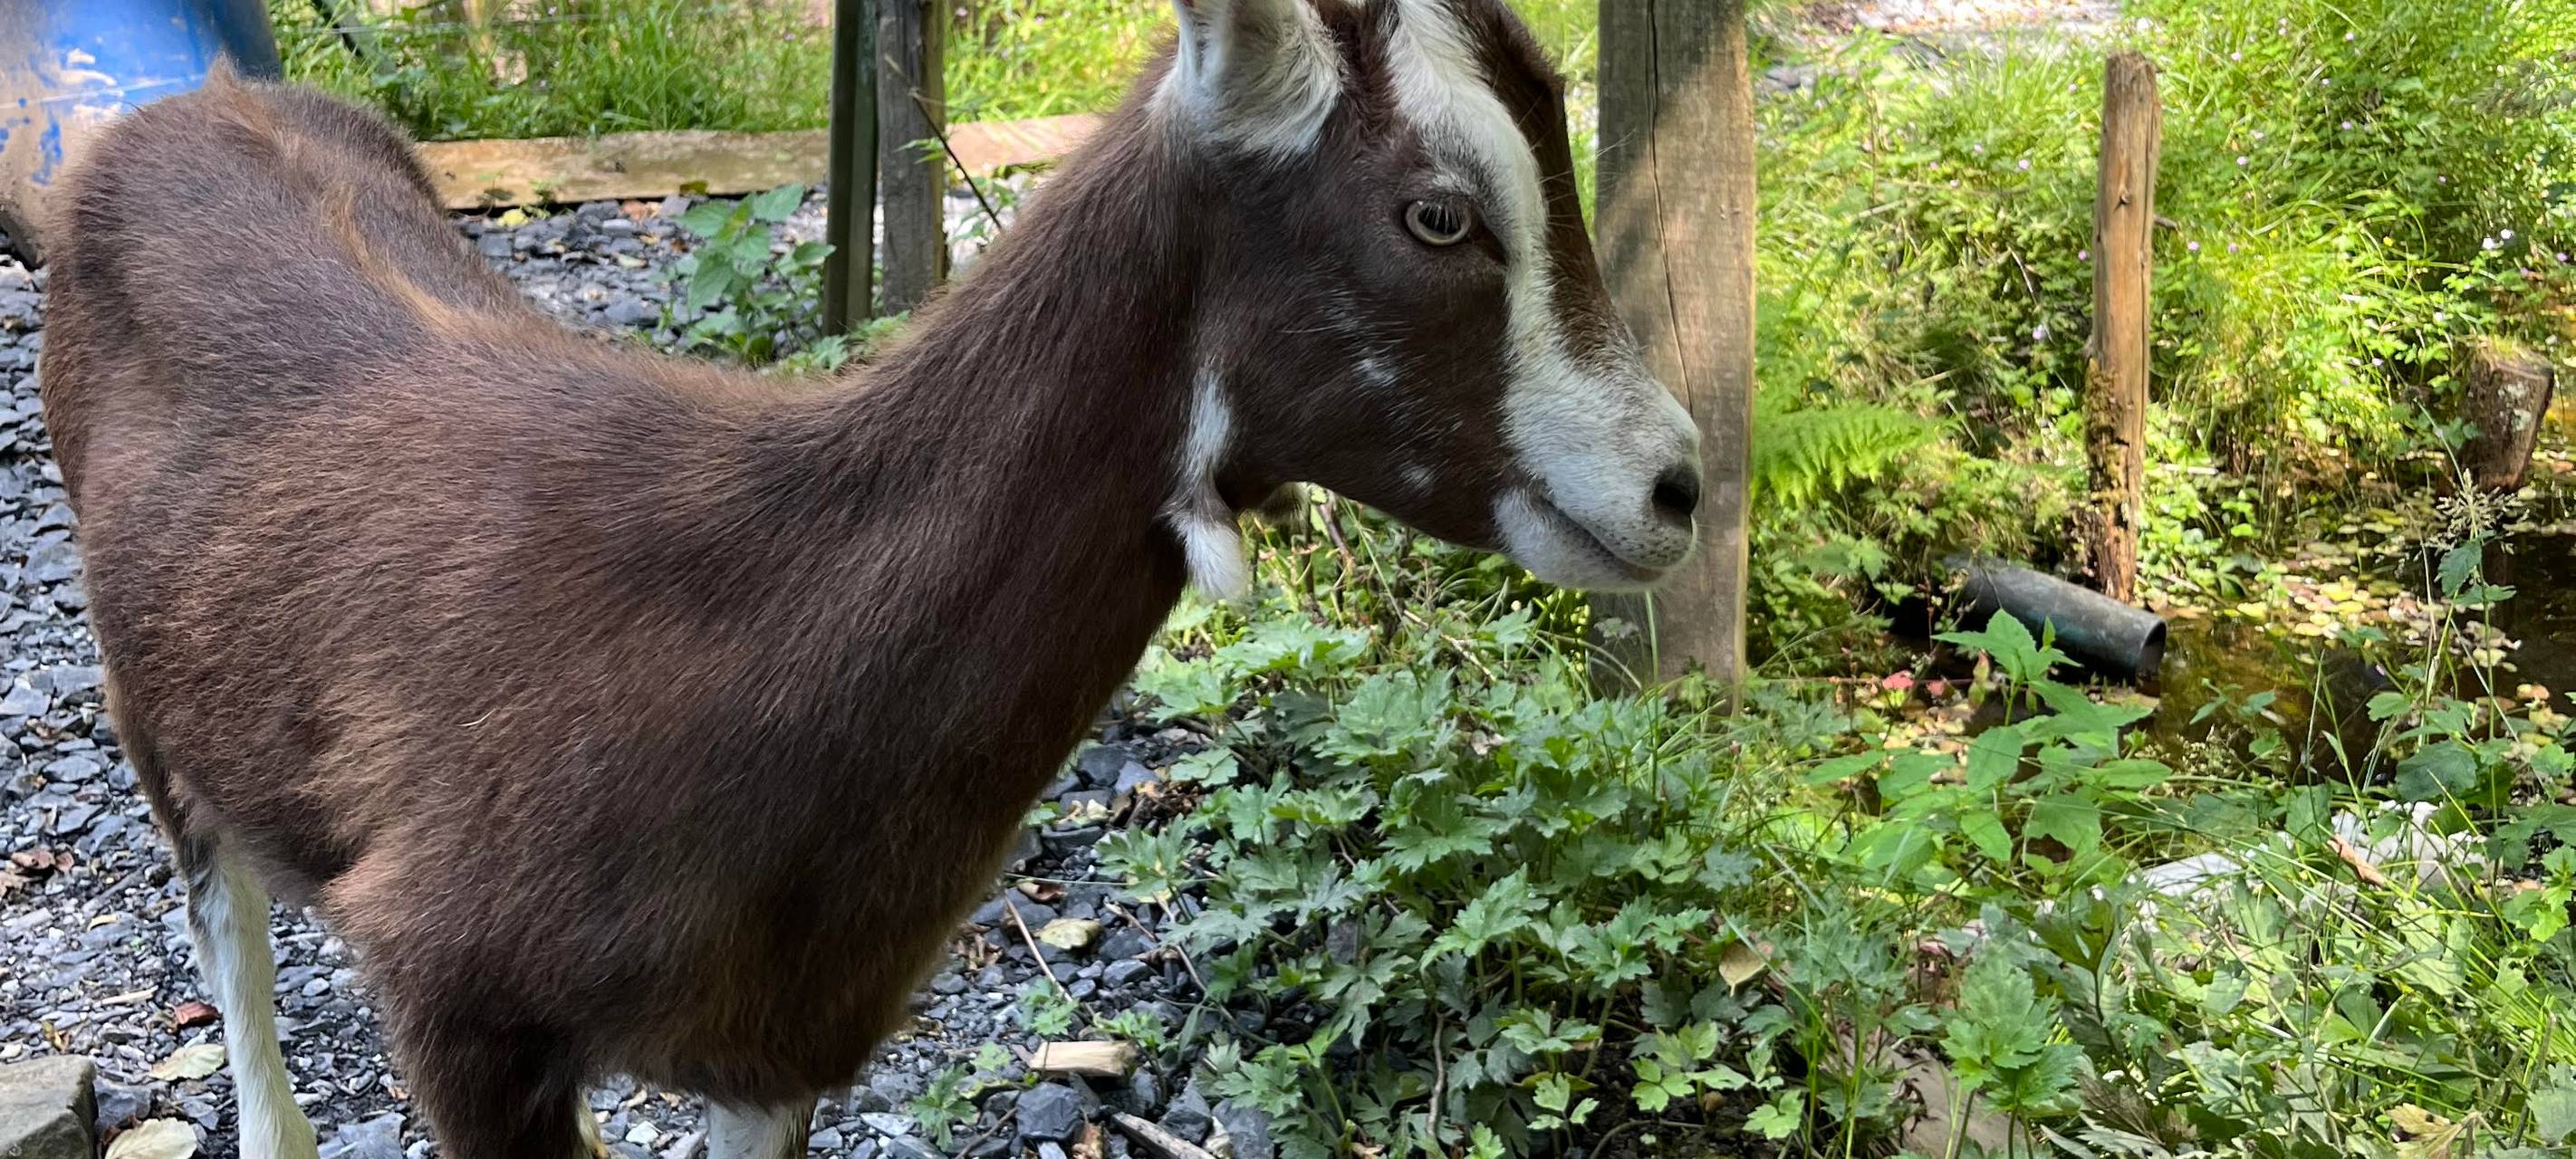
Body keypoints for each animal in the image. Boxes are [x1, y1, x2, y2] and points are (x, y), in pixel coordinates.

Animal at [38, 0, 1702, 1154]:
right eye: (1438, 213)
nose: (1675, 485)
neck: (748, 622)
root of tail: (179, 113)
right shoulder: (460, 1006)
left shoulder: (784, 1032)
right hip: (150, 706)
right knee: (231, 941)